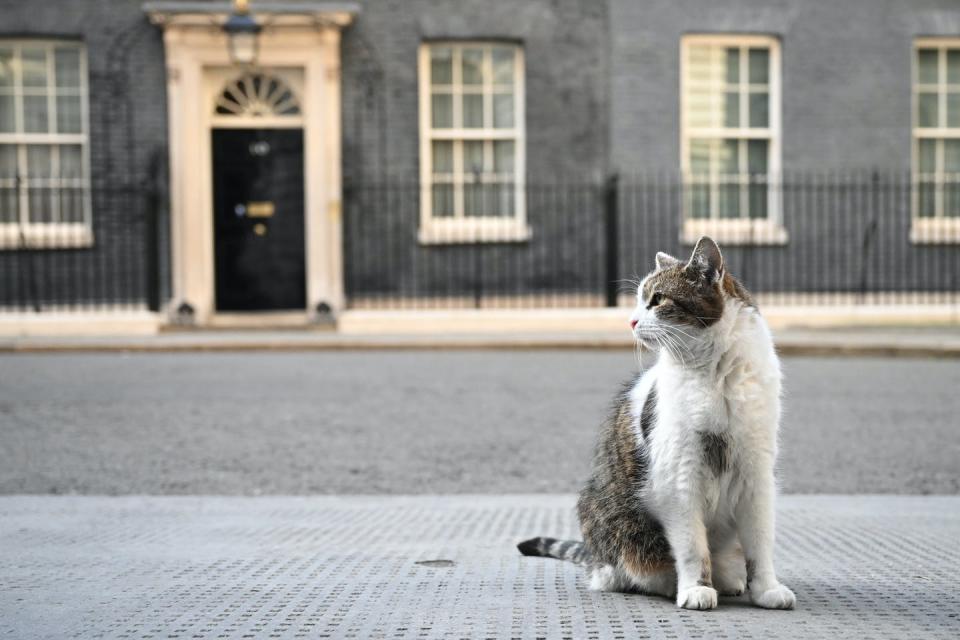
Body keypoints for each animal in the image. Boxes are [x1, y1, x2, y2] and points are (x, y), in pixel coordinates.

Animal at [516, 238, 796, 612]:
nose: (631, 321)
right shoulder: (679, 477)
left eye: (658, 299)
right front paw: (695, 588)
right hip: (607, 518)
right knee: (620, 570)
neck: (715, 374)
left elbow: (760, 544)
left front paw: (766, 588)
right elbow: (692, 547)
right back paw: (662, 581)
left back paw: (729, 579)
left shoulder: (756, 475)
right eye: (638, 301)